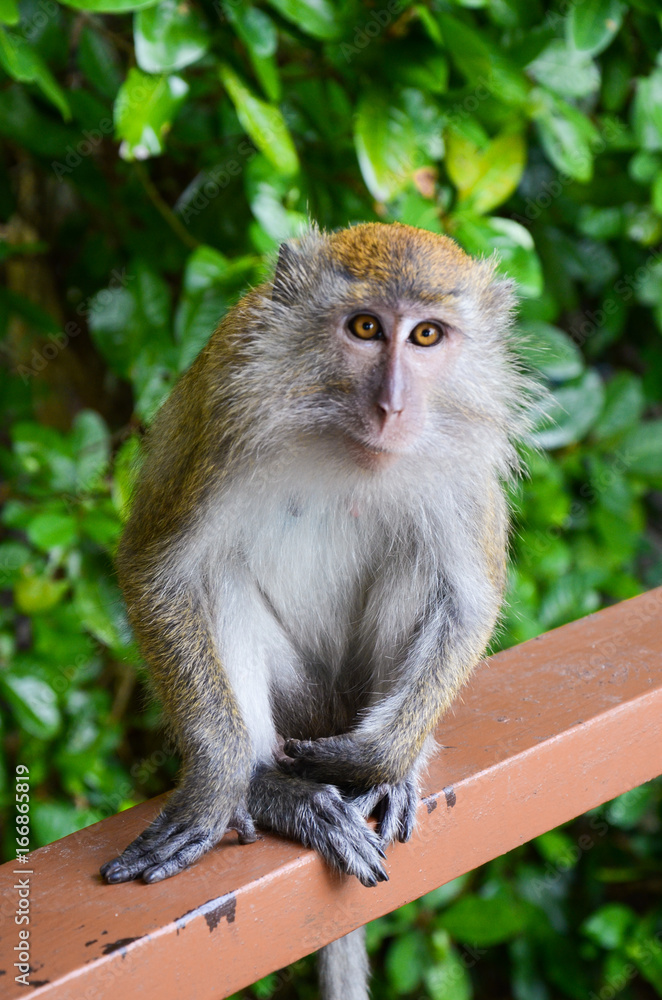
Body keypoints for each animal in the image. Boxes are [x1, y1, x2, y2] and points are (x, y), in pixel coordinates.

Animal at [100, 222, 531, 1000]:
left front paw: (380, 758)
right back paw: (274, 789)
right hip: (299, 702)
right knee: (217, 576)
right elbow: (160, 570)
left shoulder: (464, 456)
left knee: (418, 568)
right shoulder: (228, 411)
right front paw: (217, 786)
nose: (393, 405)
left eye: (426, 335)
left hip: (347, 702)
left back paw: (388, 772)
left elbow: (466, 597)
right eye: (365, 329)